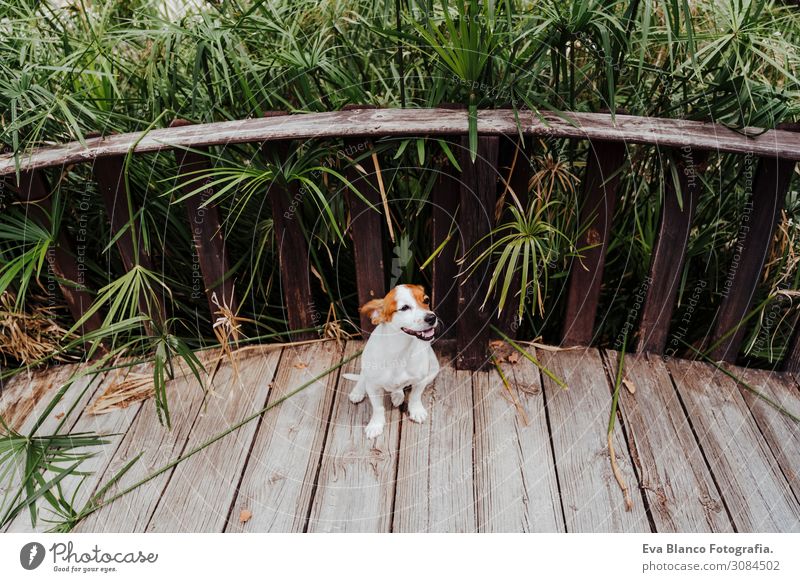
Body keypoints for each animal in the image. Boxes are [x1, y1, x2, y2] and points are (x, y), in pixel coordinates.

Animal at [344, 286, 440, 440]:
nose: (432, 317)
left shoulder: (420, 381)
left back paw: (397, 394)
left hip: (434, 368)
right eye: (404, 308)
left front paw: (416, 411)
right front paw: (375, 425)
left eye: (426, 300)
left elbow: (415, 396)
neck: (401, 349)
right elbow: (378, 408)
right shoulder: (373, 386)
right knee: (363, 377)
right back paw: (358, 392)